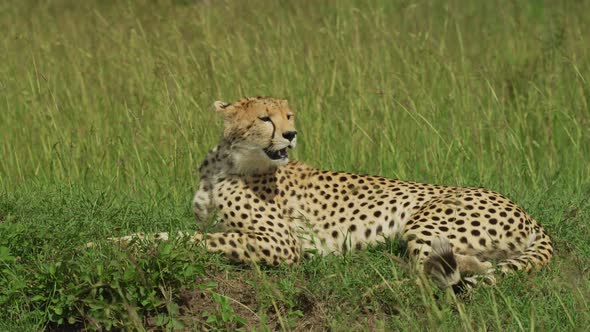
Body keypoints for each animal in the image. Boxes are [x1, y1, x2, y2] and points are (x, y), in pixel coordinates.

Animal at [103, 96, 556, 290]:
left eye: (289, 115)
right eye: (265, 118)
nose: (291, 133)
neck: (227, 162)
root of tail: (527, 212)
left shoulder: (281, 243)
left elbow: (202, 240)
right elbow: (172, 235)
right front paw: (112, 243)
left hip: (425, 218)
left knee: (441, 269)